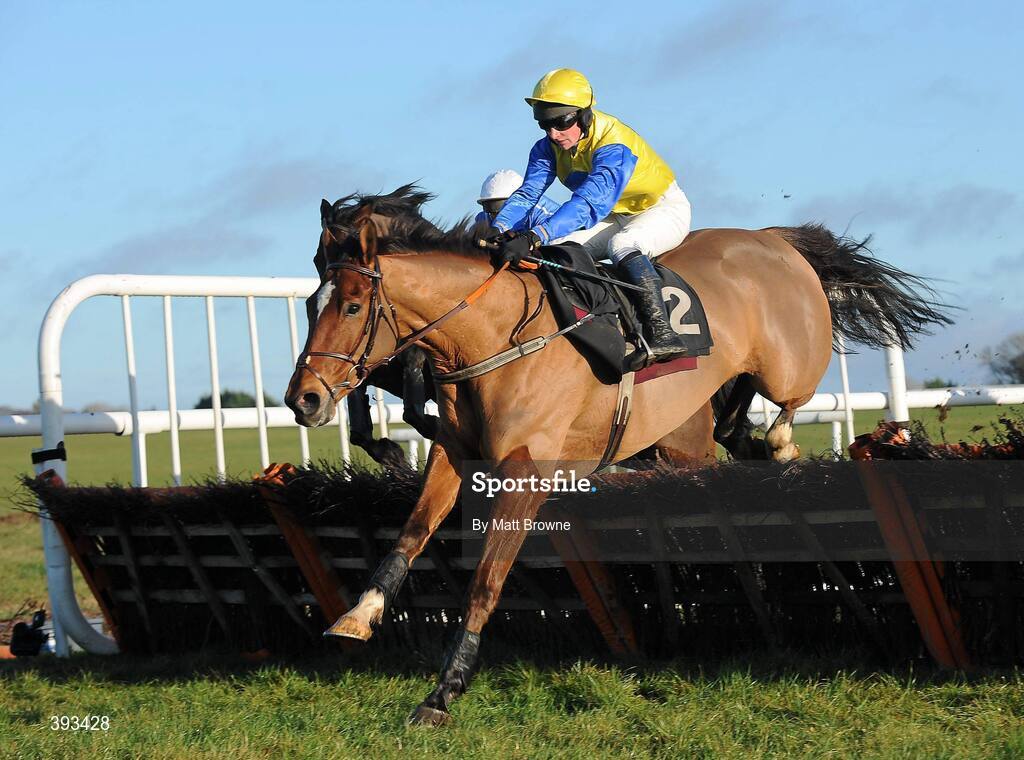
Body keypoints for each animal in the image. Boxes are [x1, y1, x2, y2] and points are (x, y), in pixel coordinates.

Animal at [286, 197, 948, 725]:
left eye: (351, 308)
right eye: (311, 303)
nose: (304, 399)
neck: (492, 338)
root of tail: (774, 239)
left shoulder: (527, 472)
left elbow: (486, 581)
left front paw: (444, 691)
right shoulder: (455, 453)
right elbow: (410, 535)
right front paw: (358, 616)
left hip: (786, 368)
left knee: (788, 408)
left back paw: (783, 447)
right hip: (698, 432)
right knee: (734, 444)